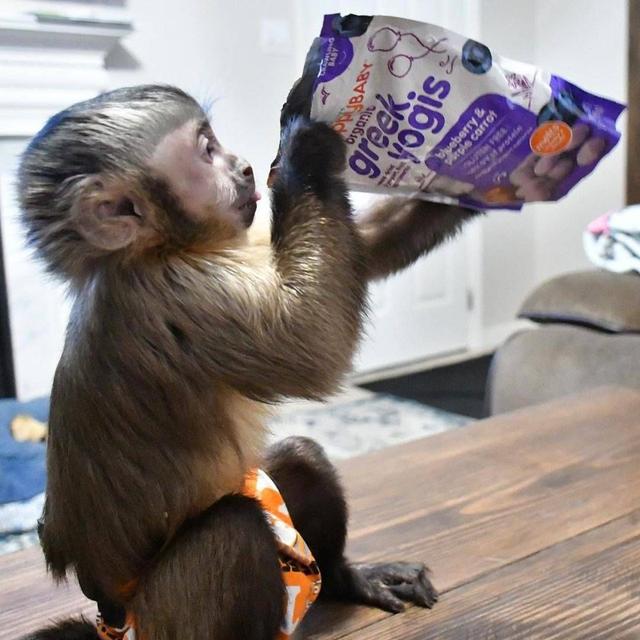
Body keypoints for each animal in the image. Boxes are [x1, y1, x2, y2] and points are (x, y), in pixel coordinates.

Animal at [17, 85, 479, 640]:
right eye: (206, 151)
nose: (244, 167)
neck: (159, 250)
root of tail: (110, 620)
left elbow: (364, 251)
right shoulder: (176, 295)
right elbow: (311, 341)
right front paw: (308, 151)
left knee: (301, 459)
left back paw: (345, 579)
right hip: (162, 619)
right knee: (233, 530)